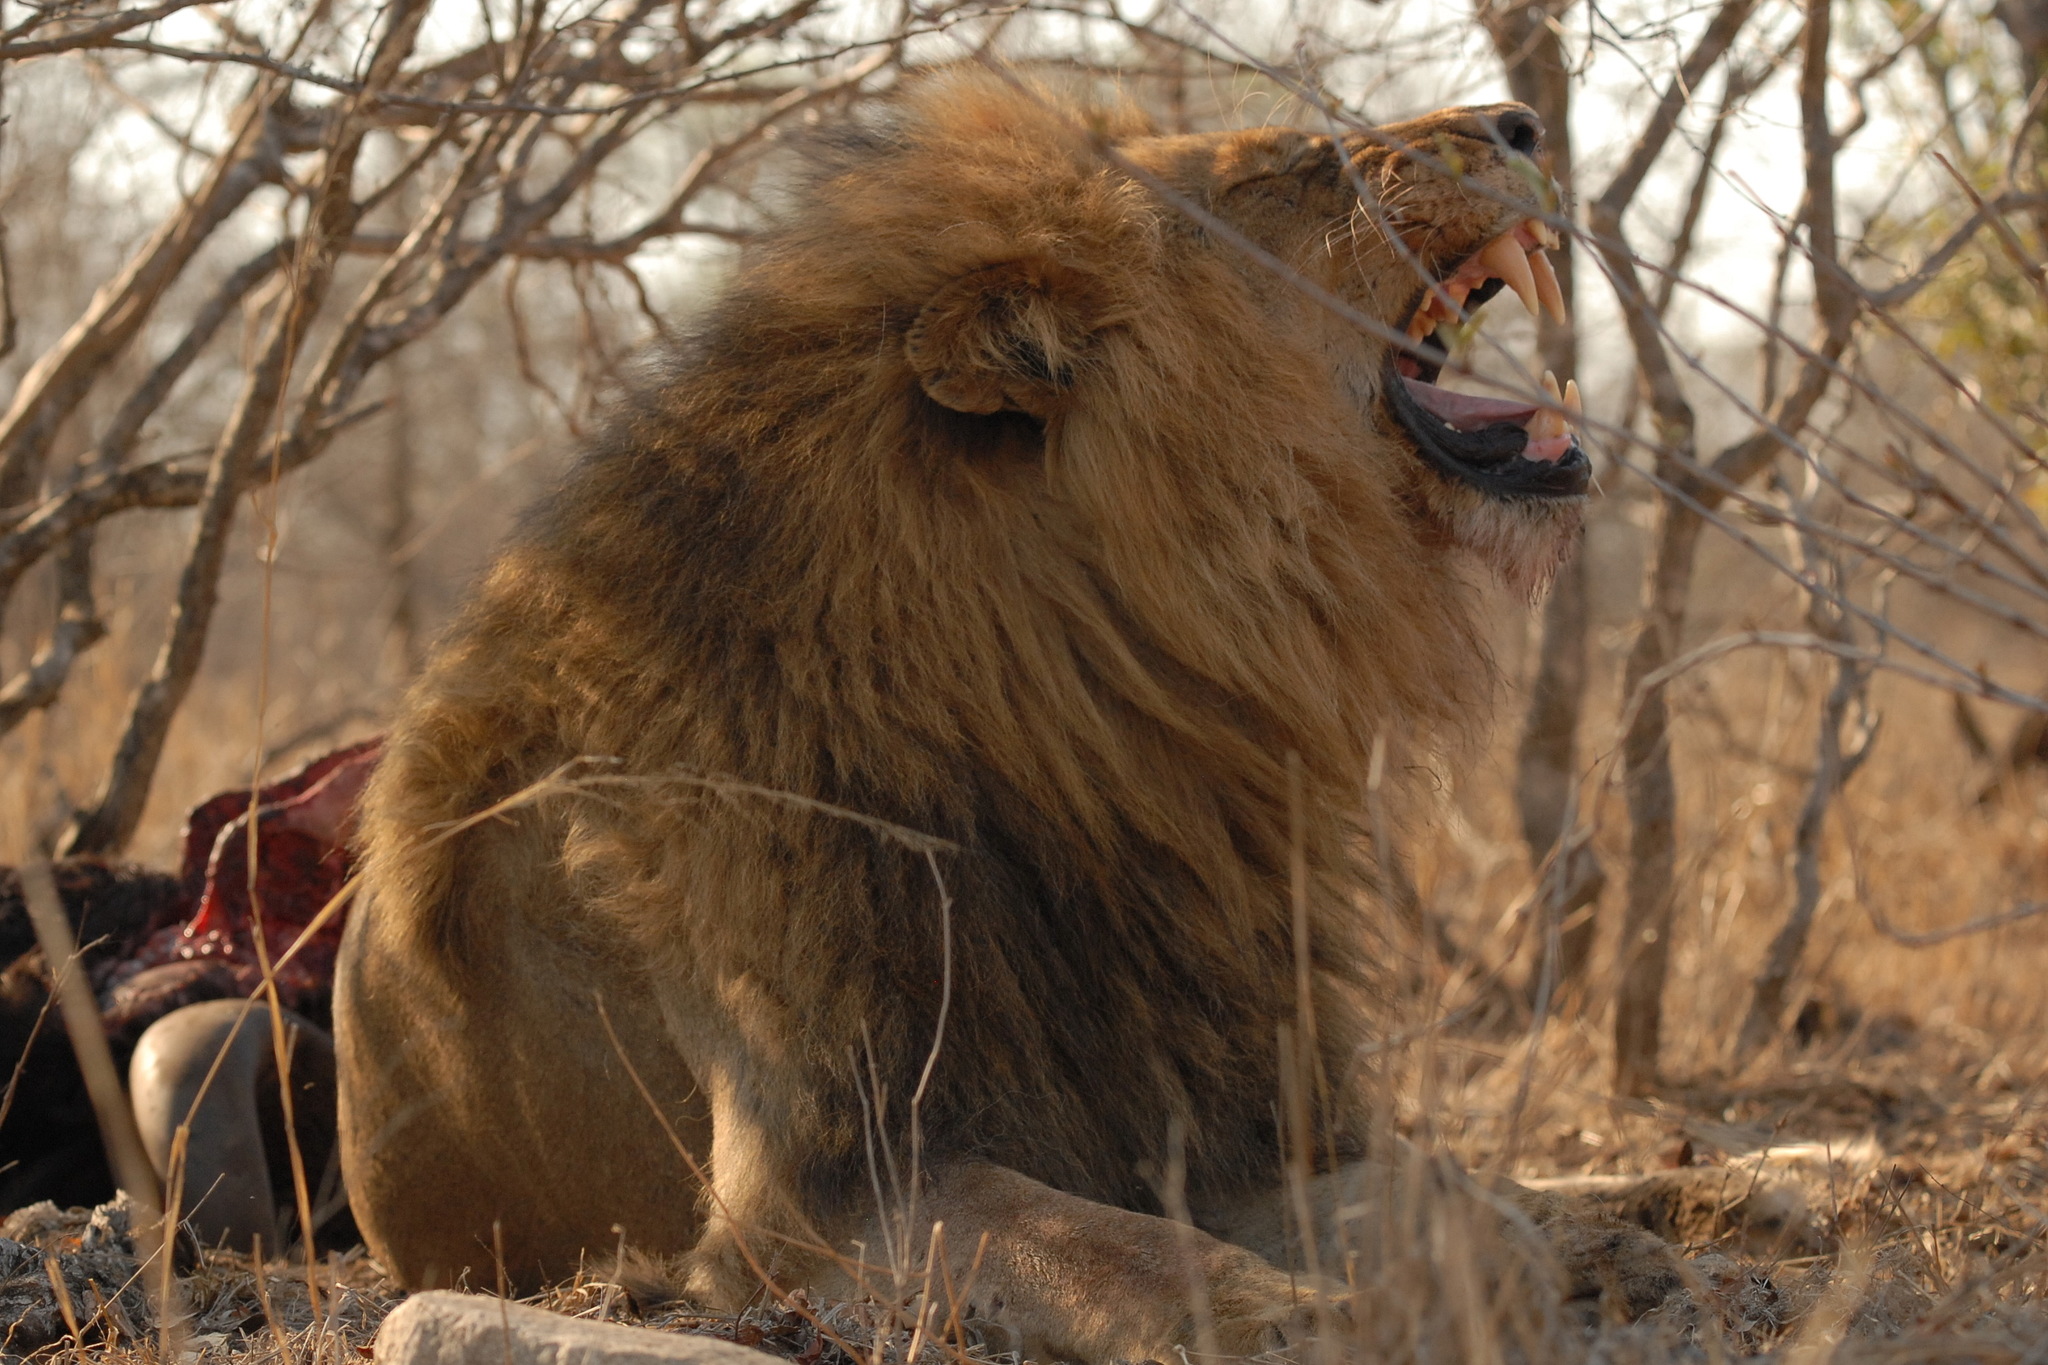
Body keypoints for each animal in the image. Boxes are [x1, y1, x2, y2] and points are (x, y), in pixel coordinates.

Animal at [335, 66, 1613, 1365]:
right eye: (1288, 167)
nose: (1522, 125)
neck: (1092, 720)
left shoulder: (1219, 1110)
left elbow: (1462, 1211)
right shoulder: (820, 1190)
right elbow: (1113, 1251)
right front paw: (1294, 1316)